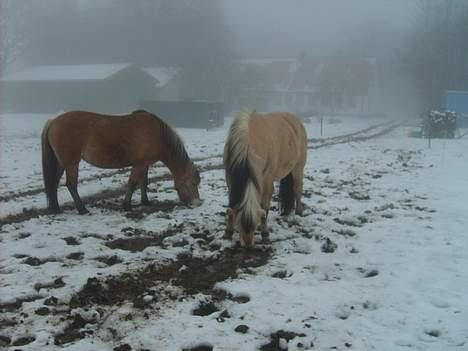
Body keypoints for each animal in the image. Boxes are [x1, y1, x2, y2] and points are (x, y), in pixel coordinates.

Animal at [41, 110, 200, 214]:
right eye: (193, 183)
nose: (197, 203)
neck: (157, 134)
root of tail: (53, 122)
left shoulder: (145, 164)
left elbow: (144, 182)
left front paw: (145, 201)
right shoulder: (139, 164)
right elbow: (133, 184)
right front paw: (127, 206)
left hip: (62, 163)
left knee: (54, 182)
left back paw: (56, 208)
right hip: (71, 163)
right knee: (71, 184)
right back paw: (82, 209)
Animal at [223, 109, 308, 248]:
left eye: (253, 224)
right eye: (240, 224)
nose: (247, 244)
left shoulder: (267, 181)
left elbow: (264, 208)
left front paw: (265, 235)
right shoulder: (230, 178)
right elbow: (232, 204)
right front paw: (228, 232)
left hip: (298, 167)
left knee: (297, 189)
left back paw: (299, 212)